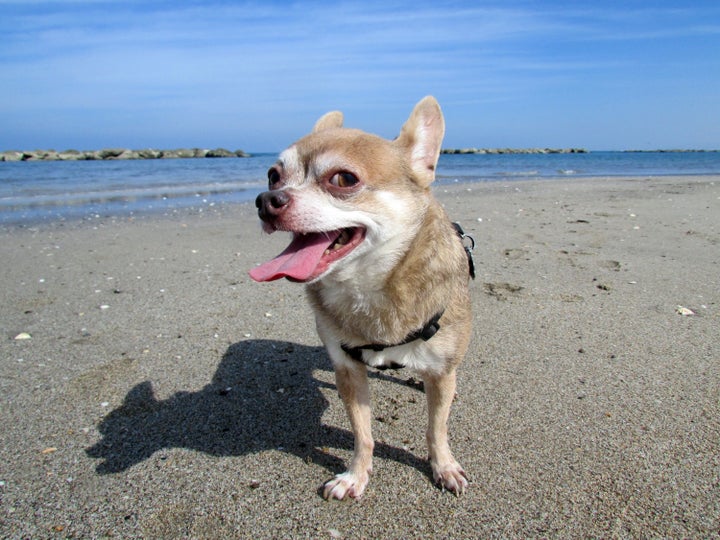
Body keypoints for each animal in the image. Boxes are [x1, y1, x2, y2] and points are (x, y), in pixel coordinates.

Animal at [249, 96, 472, 498]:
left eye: (343, 179)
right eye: (273, 175)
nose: (266, 198)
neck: (369, 287)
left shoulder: (441, 372)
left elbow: (437, 428)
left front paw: (444, 466)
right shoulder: (349, 371)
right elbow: (362, 434)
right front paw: (355, 476)